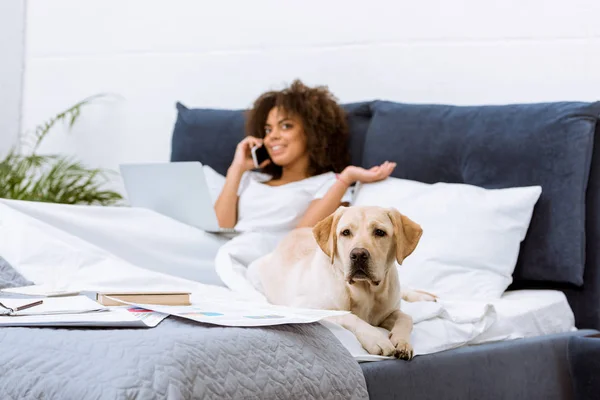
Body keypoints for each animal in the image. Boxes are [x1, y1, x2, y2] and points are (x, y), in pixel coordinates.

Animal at [248, 206, 436, 360]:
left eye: (380, 232)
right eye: (345, 232)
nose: (358, 255)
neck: (366, 291)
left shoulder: (387, 312)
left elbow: (406, 317)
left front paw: (401, 342)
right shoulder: (307, 308)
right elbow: (348, 315)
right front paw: (376, 338)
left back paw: (424, 296)